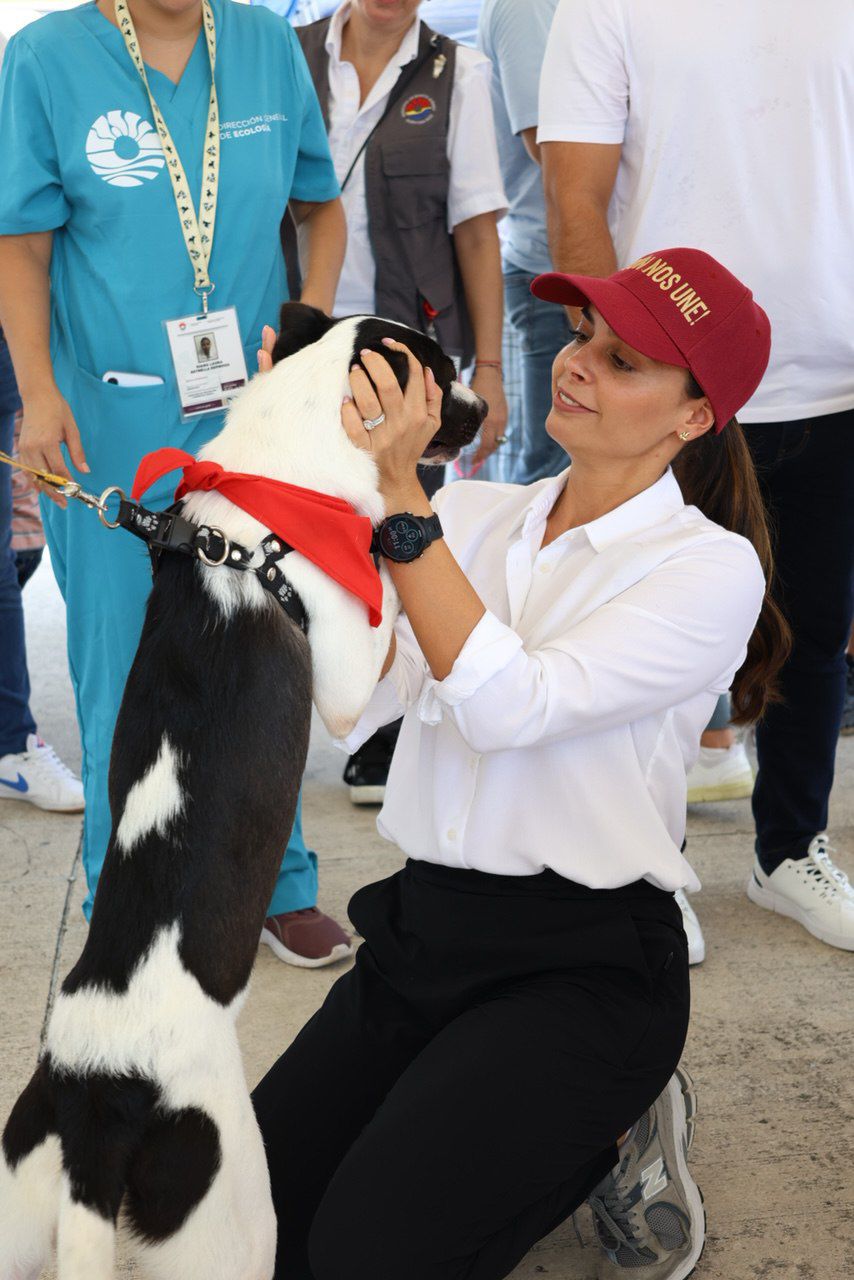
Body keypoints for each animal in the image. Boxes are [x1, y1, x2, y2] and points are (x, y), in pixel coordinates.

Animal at [0, 304, 486, 1274]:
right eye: (443, 373)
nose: (488, 410)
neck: (270, 497)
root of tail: (95, 1109)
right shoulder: (345, 680)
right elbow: (386, 594)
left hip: (13, 1204)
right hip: (230, 1211)